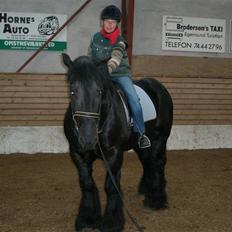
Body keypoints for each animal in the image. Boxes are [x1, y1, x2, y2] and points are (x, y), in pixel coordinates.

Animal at [61, 53, 172, 231]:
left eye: (99, 91)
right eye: (72, 90)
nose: (88, 138)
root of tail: (158, 86)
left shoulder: (113, 154)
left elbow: (111, 186)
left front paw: (111, 222)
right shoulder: (78, 153)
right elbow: (87, 184)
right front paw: (87, 219)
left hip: (160, 138)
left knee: (158, 163)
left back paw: (156, 198)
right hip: (141, 143)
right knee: (148, 162)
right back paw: (146, 188)